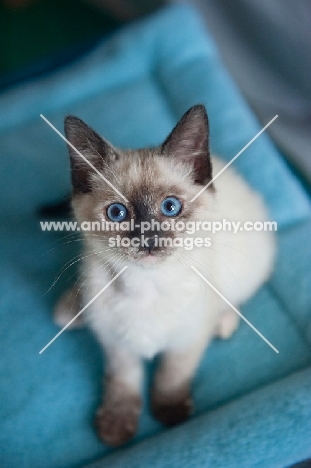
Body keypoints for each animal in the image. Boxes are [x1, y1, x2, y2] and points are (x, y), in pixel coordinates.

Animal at [55, 105, 276, 446]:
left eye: (170, 207)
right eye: (117, 213)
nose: (148, 240)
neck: (146, 285)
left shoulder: (189, 337)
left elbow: (173, 373)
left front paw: (170, 413)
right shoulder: (116, 343)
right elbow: (123, 380)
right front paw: (117, 426)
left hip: (250, 263)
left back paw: (224, 322)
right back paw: (71, 310)